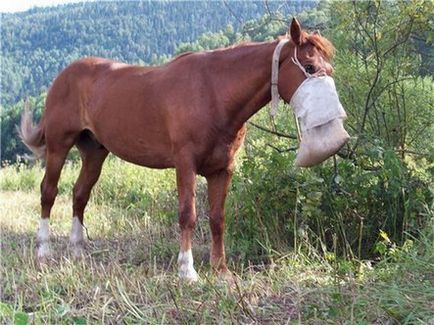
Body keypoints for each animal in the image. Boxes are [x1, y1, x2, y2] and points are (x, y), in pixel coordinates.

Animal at [20, 18, 338, 280]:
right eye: (309, 67)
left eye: (330, 69)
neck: (213, 92)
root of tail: (65, 75)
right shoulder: (185, 164)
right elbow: (188, 214)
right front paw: (187, 270)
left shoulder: (222, 170)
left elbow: (217, 219)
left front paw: (221, 270)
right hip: (58, 146)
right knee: (48, 192)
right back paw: (43, 251)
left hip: (95, 153)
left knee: (79, 194)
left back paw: (76, 250)